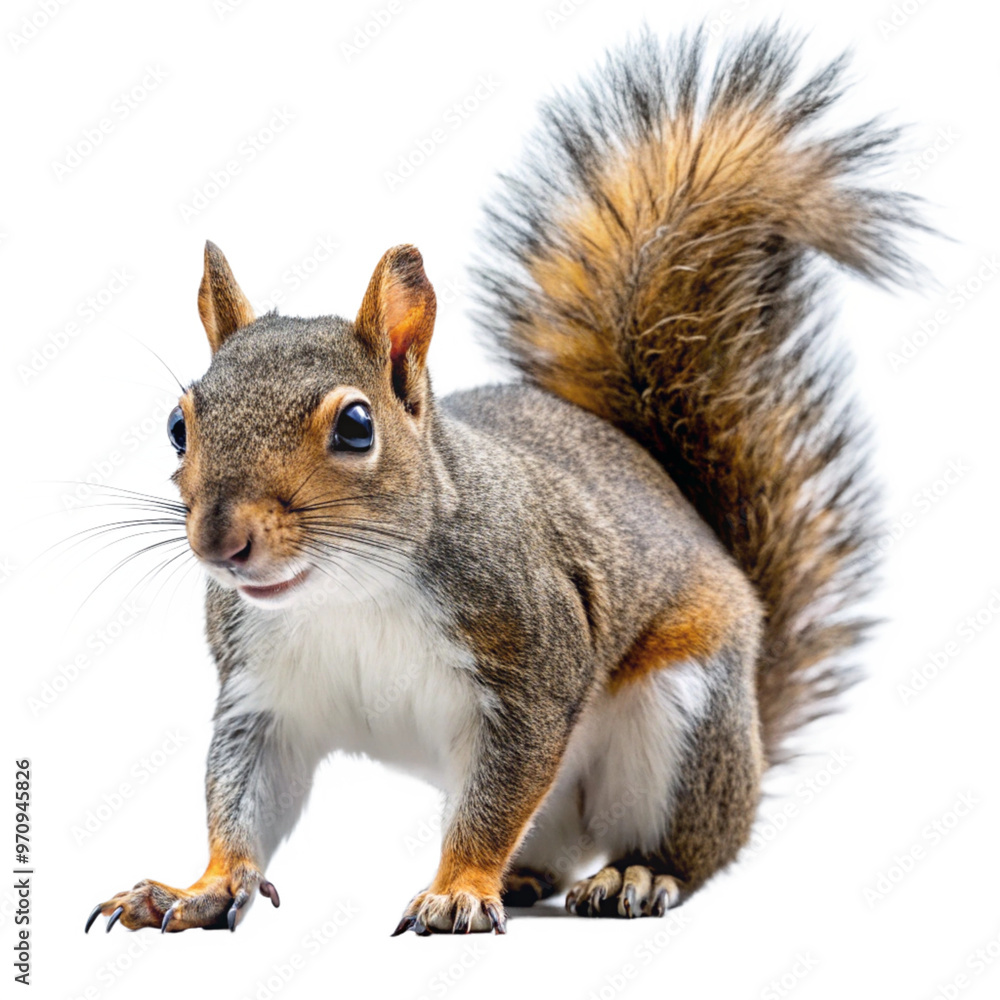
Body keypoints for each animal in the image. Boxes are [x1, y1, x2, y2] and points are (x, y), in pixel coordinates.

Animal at [85, 27, 920, 936]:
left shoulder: (535, 659)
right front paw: (199, 887)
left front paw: (457, 888)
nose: (219, 542)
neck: (350, 591)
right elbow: (240, 794)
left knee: (689, 847)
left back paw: (633, 875)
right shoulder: (262, 695)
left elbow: (497, 794)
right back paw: (525, 877)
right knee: (552, 848)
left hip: (685, 711)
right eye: (177, 425)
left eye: (356, 427)